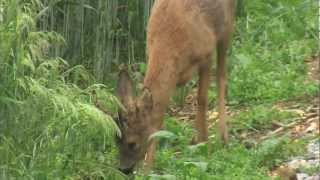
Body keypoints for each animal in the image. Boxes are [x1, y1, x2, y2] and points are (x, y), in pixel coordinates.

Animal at [116, 0, 234, 174]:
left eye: (133, 143)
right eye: (116, 139)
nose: (123, 169)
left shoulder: (206, 54)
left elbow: (202, 99)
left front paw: (204, 143)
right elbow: (159, 121)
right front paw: (148, 169)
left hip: (226, 27)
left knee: (221, 75)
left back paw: (223, 137)